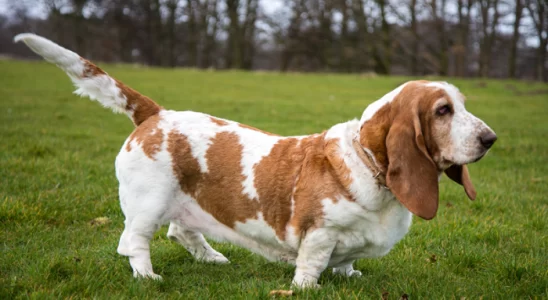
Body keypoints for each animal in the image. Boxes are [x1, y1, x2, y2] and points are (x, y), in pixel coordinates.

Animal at [16, 33, 496, 288]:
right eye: (442, 111)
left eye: (462, 104)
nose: (491, 139)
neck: (367, 164)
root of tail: (156, 113)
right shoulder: (319, 233)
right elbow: (313, 263)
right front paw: (307, 288)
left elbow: (347, 261)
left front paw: (351, 276)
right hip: (147, 203)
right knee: (134, 242)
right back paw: (149, 278)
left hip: (183, 201)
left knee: (181, 230)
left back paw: (212, 258)